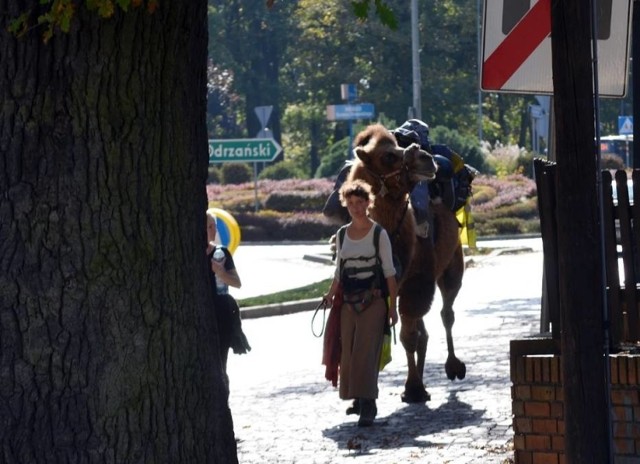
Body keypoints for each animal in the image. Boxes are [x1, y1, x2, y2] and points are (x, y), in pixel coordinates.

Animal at [324, 123, 464, 402]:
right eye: (388, 156)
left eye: (398, 147)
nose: (427, 159)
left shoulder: (417, 281)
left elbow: (408, 336)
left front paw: (414, 388)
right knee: (425, 328)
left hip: (453, 262)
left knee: (446, 312)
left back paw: (454, 366)